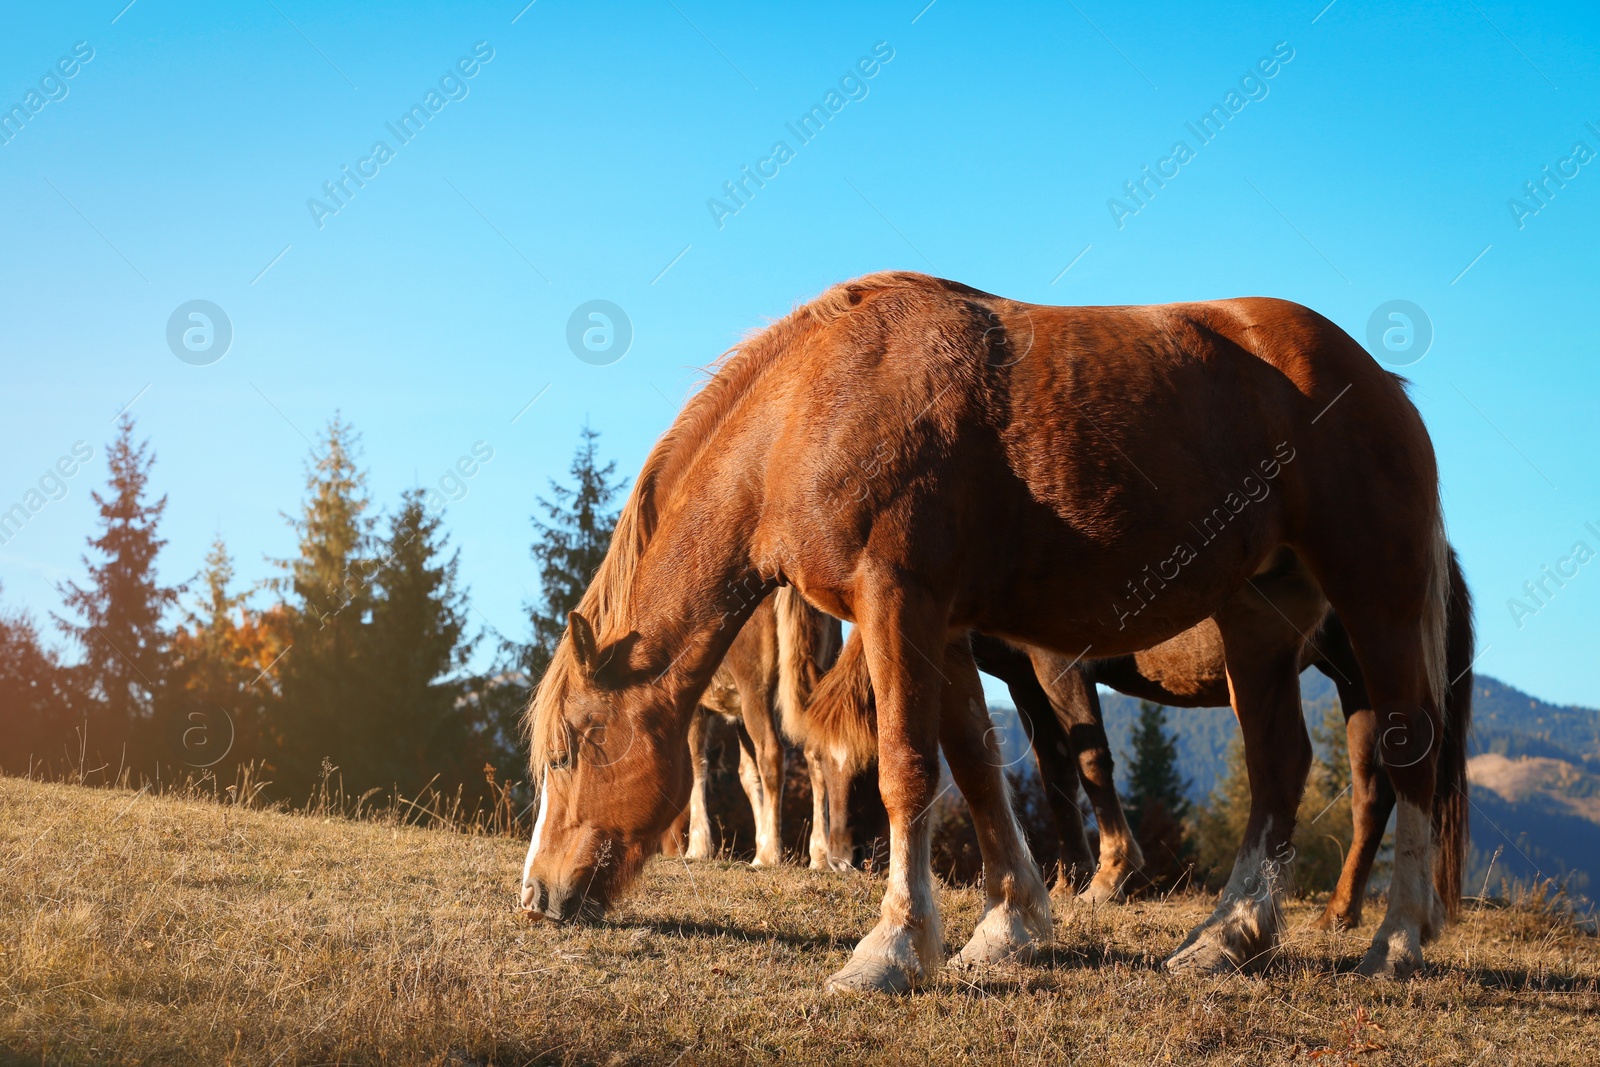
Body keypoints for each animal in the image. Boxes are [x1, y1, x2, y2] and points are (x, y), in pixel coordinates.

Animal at [659, 588, 851, 870]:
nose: (669, 849)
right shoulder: (738, 716)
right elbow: (749, 775)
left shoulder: (696, 710)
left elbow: (697, 765)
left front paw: (699, 847)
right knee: (815, 757)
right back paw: (818, 856)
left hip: (756, 690)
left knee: (772, 753)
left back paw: (768, 855)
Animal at [800, 547, 1472, 927]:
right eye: (816, 766)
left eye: (860, 767)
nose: (841, 858)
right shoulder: (1025, 677)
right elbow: (1055, 769)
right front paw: (1069, 875)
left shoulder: (1061, 665)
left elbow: (1091, 758)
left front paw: (1111, 874)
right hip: (1355, 685)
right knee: (1372, 796)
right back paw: (1344, 909)